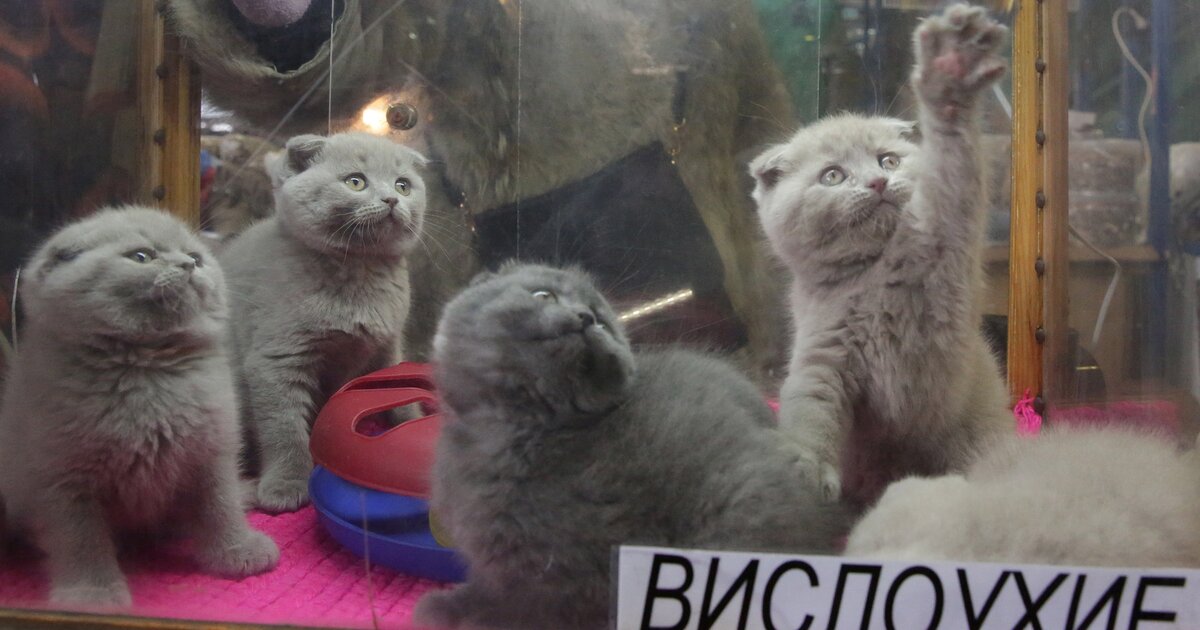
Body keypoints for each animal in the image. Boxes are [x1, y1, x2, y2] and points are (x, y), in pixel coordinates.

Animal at [0, 206, 279, 608]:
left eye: (195, 257)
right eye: (142, 256)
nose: (187, 265)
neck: (148, 368)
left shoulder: (212, 450)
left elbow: (219, 504)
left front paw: (238, 550)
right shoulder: (61, 479)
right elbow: (80, 539)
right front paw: (92, 594)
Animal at [220, 131, 426, 513]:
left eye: (403, 185)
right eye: (356, 182)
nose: (391, 199)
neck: (359, 273)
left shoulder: (388, 346)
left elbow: (399, 391)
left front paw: (414, 424)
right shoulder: (277, 359)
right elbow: (283, 426)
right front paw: (287, 485)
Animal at [412, 263, 847, 630]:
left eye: (601, 318)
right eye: (542, 295)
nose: (585, 318)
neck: (517, 434)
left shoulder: (565, 572)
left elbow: (519, 608)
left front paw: (449, 611)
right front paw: (449, 604)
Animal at [749, 4, 1012, 507]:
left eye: (888, 160)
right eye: (832, 175)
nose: (877, 183)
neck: (871, 274)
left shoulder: (942, 264)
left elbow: (952, 173)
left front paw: (950, 74)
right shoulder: (821, 356)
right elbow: (810, 412)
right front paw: (806, 469)